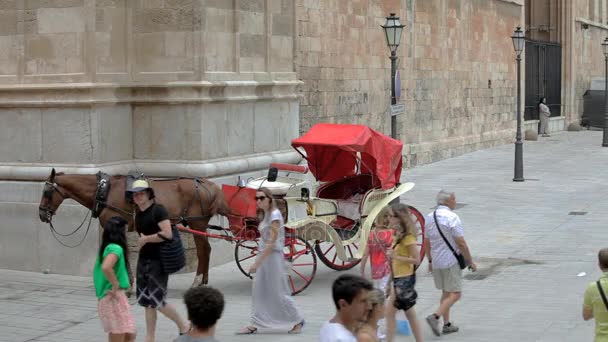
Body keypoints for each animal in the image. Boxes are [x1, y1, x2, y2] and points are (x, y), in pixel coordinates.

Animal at [38, 168, 229, 286]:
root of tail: (208, 184)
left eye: (46, 192)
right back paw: (204, 280)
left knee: (203, 251)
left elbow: (122, 251)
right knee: (207, 249)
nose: (41, 214)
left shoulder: (116, 226)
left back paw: (197, 280)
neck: (105, 191)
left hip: (197, 223)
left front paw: (125, 280)